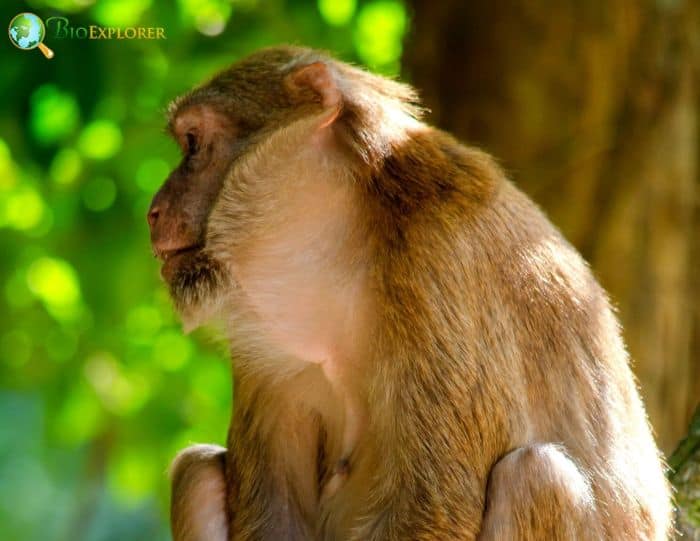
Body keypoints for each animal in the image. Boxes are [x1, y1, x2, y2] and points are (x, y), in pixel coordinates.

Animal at [146, 47, 672, 540]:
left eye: (192, 145)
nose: (153, 209)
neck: (354, 244)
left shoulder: (437, 264)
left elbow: (437, 500)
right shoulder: (267, 337)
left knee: (537, 476)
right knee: (196, 472)